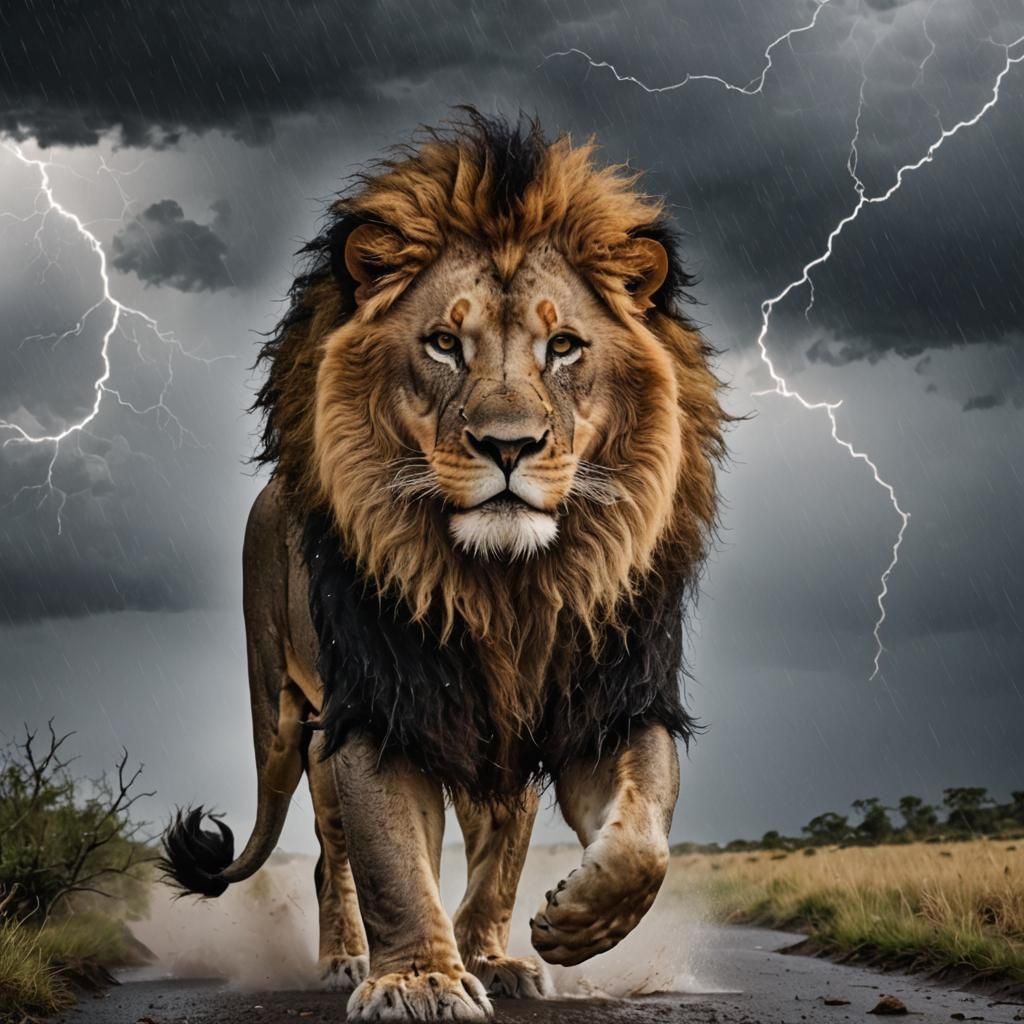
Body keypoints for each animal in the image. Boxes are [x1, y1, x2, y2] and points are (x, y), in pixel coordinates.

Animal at [162, 109, 726, 1020]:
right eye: (442, 344)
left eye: (562, 346)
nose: (509, 445)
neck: (505, 590)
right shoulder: (382, 707)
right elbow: (392, 861)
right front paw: (420, 980)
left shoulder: (606, 699)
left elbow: (638, 835)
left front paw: (563, 926)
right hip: (285, 723)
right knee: (329, 851)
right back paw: (343, 959)